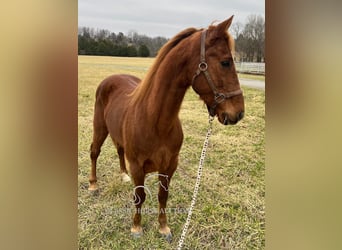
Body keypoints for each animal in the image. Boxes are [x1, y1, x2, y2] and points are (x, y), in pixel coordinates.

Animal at [88, 16, 243, 242]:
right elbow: (140, 196)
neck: (155, 121)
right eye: (225, 62)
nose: (238, 113)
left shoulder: (170, 165)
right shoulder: (138, 166)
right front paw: (136, 227)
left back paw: (123, 175)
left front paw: (163, 227)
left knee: (119, 150)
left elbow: (163, 195)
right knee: (94, 152)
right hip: (99, 128)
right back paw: (93, 184)